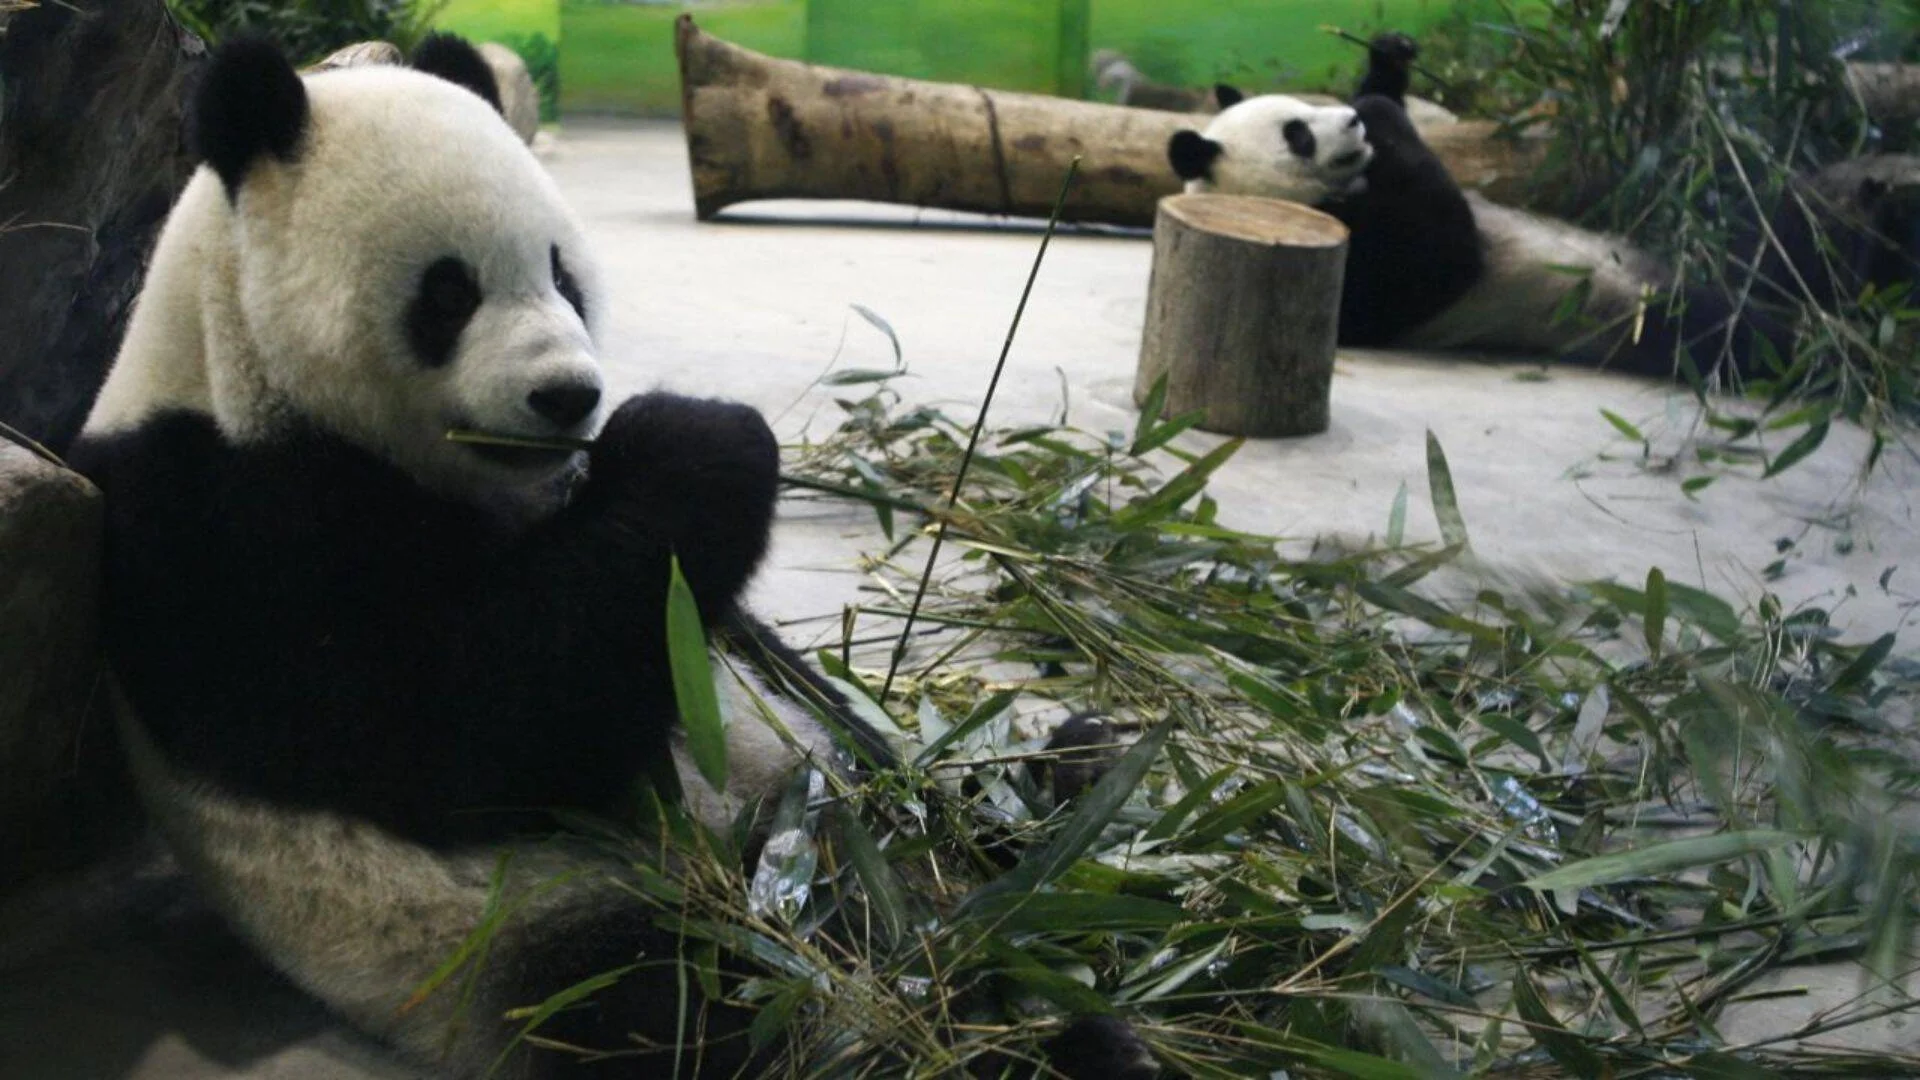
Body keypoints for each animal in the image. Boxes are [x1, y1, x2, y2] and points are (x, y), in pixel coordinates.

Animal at [66, 33, 1149, 1080]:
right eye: (447, 293)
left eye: (564, 275)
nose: (569, 396)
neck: (227, 351)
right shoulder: (221, 523)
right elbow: (465, 724)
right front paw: (703, 440)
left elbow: (718, 639)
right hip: (549, 925)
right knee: (731, 1015)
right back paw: (1028, 1028)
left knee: (940, 814)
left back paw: (1075, 787)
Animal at [1168, 89, 1749, 378]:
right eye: (1298, 135)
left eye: (1308, 106)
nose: (1352, 122)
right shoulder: (1334, 253)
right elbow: (1439, 260)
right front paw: (1383, 120)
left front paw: (1380, 87)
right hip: (1624, 316)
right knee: (1711, 327)